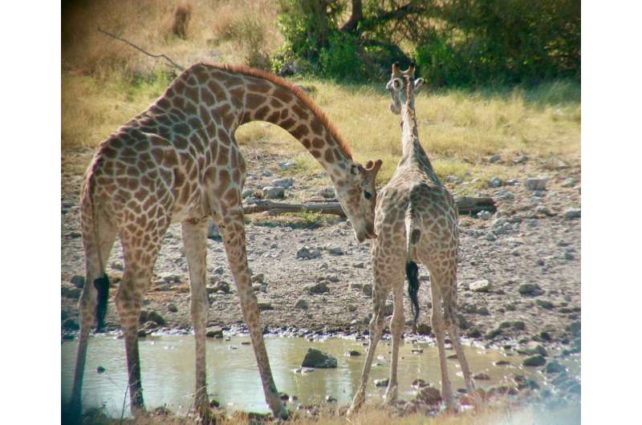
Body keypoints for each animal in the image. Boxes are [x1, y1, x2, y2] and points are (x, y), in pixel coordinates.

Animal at [69, 63, 380, 420]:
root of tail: (95, 176)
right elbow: (249, 302)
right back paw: (140, 407)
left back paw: (75, 402)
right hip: (146, 226)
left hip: (96, 227)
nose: (369, 231)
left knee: (88, 298)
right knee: (127, 298)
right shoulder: (228, 202)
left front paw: (202, 405)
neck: (238, 105)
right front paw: (276, 403)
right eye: (368, 193)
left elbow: (199, 305)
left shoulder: (194, 216)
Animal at [348, 63, 472, 414]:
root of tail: (411, 211)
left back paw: (356, 401)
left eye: (389, 86)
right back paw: (467, 391)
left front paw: (392, 392)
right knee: (448, 316)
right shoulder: (421, 262)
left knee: (379, 318)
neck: (413, 156)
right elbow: (426, 319)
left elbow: (402, 320)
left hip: (385, 256)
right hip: (444, 259)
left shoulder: (406, 262)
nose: (391, 107)